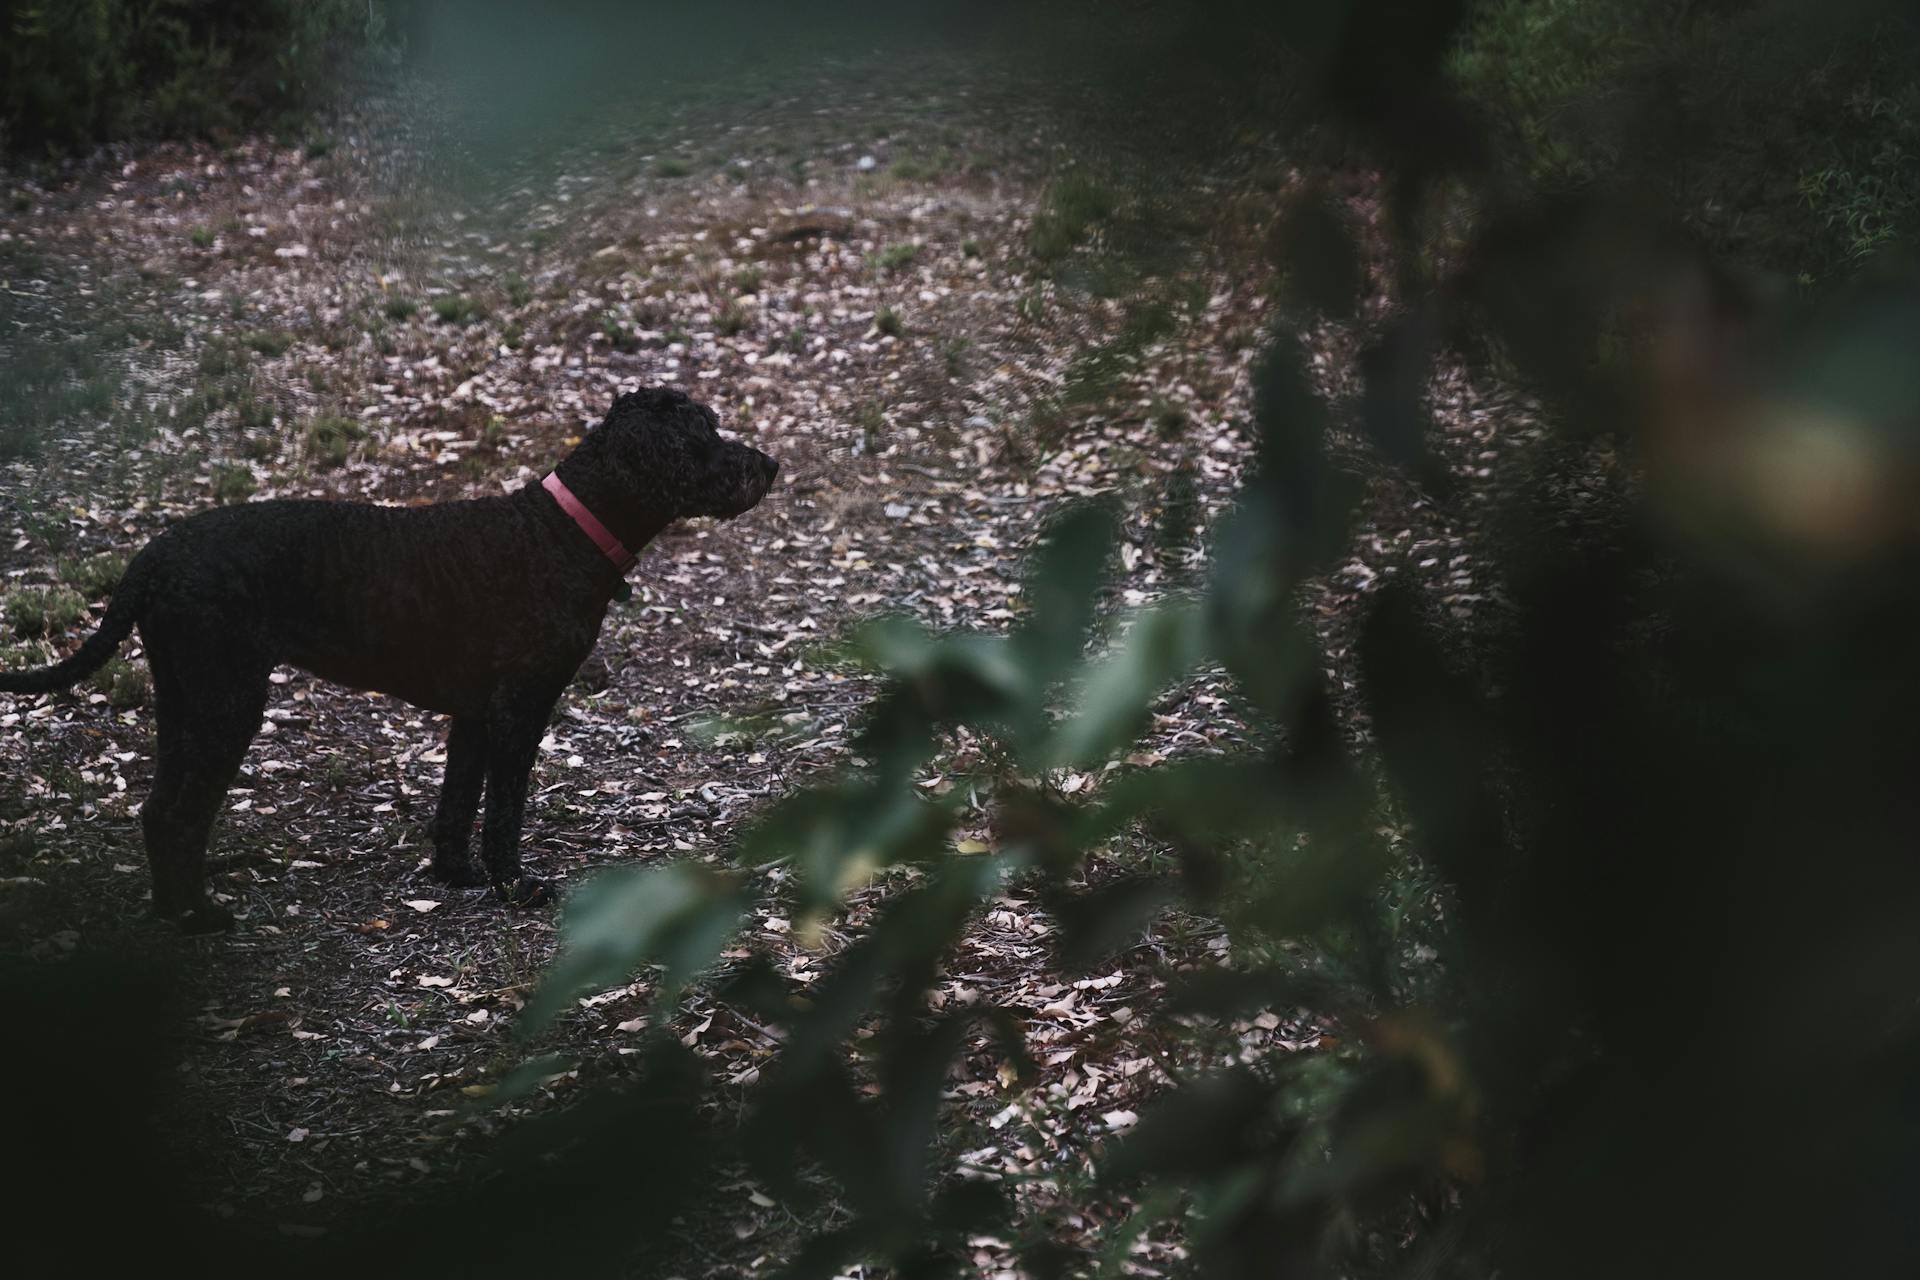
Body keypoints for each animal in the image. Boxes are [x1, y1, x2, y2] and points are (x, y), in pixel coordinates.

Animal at [1, 385, 779, 936]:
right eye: (705, 432)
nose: (771, 464)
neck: (561, 532)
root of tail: (153, 556)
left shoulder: (474, 714)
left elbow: (457, 802)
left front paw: (456, 875)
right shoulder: (519, 709)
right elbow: (504, 809)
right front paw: (514, 887)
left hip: (182, 698)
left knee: (158, 809)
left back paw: (172, 913)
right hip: (228, 702)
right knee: (178, 816)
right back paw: (199, 919)